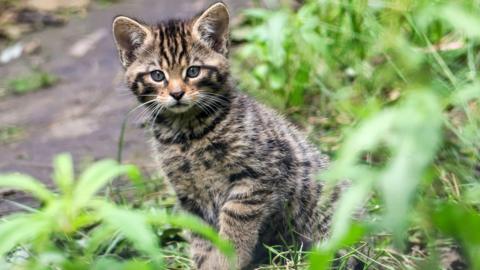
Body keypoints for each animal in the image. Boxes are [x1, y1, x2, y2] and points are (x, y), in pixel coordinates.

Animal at [113, 2, 344, 270]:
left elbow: (235, 218)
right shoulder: (189, 196)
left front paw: (227, 259)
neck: (187, 136)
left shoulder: (258, 175)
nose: (177, 93)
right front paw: (205, 262)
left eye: (193, 71)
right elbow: (200, 235)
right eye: (157, 75)